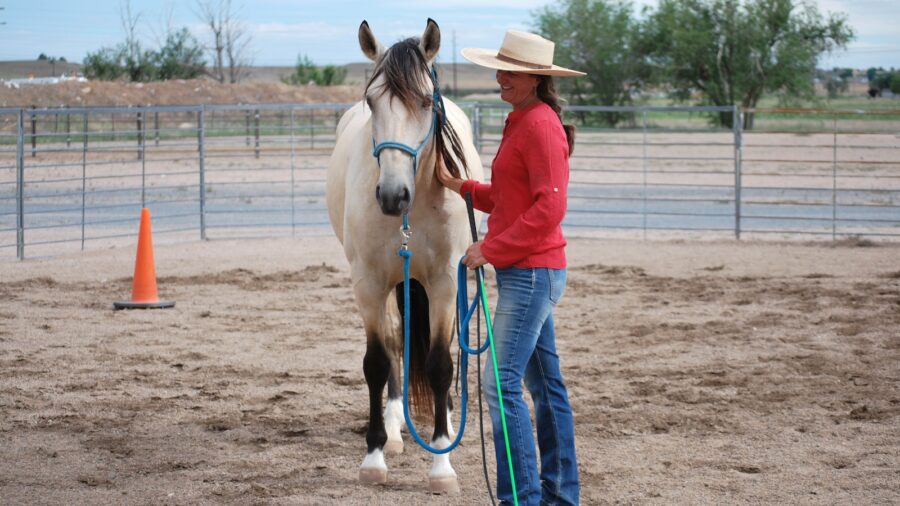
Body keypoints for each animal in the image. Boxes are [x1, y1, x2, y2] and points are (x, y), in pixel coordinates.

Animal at [326, 19, 484, 493]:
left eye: (425, 101)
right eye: (371, 100)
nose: (393, 195)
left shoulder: (445, 280)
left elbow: (439, 363)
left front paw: (442, 461)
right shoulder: (368, 283)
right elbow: (377, 362)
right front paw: (374, 455)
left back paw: (443, 418)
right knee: (396, 341)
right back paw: (396, 429)